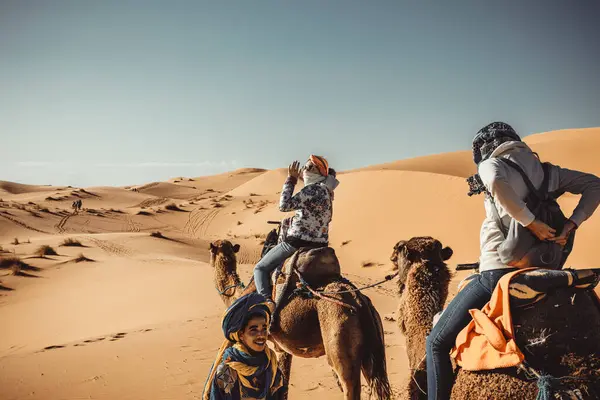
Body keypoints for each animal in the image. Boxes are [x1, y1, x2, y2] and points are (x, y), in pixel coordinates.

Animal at [209, 239, 392, 400]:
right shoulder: (281, 348)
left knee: (349, 385)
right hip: (373, 351)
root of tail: (360, 302)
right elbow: (283, 386)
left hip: (340, 341)